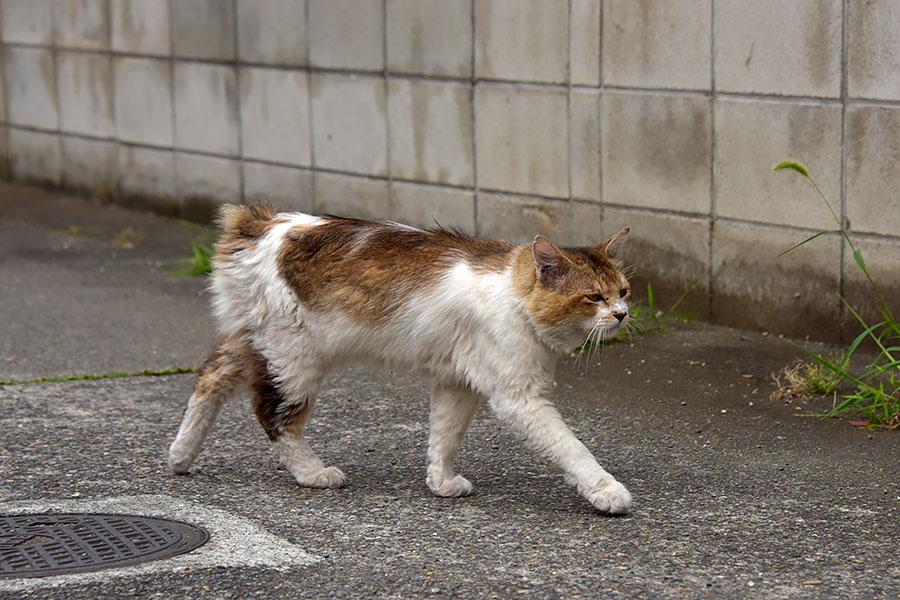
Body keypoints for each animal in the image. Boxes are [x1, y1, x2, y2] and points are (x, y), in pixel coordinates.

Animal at [169, 204, 632, 512]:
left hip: (254, 341)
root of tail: (258, 222)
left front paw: (441, 482)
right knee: (273, 417)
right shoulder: (518, 398)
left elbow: (444, 436)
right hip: (292, 359)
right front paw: (605, 489)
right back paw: (312, 474)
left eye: (623, 291)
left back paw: (180, 455)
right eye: (594, 297)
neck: (513, 294)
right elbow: (570, 447)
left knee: (208, 378)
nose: (623, 314)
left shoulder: (457, 382)